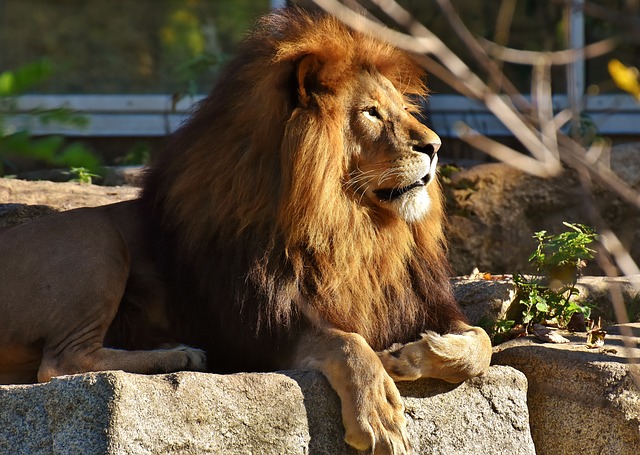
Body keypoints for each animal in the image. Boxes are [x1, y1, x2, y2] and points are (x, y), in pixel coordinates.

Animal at [0, 9, 491, 454]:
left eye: (403, 109)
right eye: (370, 113)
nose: (435, 147)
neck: (350, 227)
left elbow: (481, 343)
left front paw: (415, 354)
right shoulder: (260, 328)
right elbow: (347, 342)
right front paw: (379, 412)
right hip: (96, 241)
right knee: (61, 363)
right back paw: (181, 354)